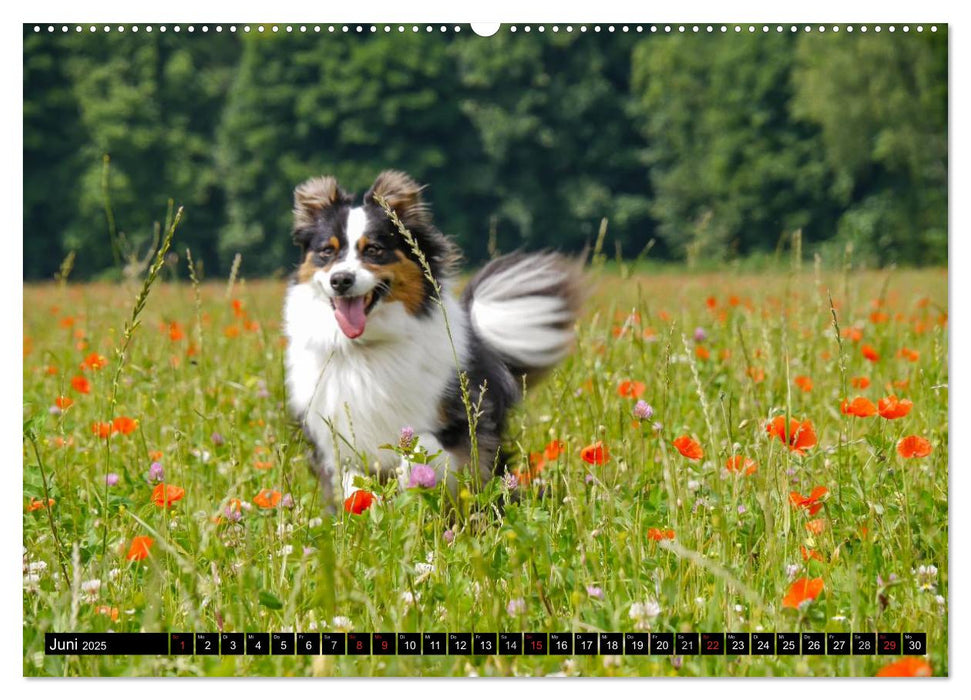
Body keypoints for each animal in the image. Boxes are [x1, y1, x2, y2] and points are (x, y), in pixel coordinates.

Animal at [284, 170, 580, 508]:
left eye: (374, 249)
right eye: (327, 252)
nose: (341, 280)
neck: (367, 347)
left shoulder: (458, 426)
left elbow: (418, 445)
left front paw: (410, 479)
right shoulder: (333, 440)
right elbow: (353, 484)